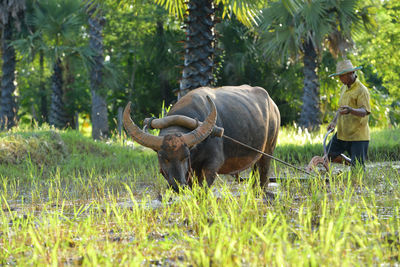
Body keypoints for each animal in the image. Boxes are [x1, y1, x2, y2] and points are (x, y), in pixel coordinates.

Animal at [123, 85, 280, 192]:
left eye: (186, 156)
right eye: (162, 157)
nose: (177, 185)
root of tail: (273, 106)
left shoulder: (212, 165)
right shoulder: (191, 172)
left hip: (268, 151)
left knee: (263, 176)